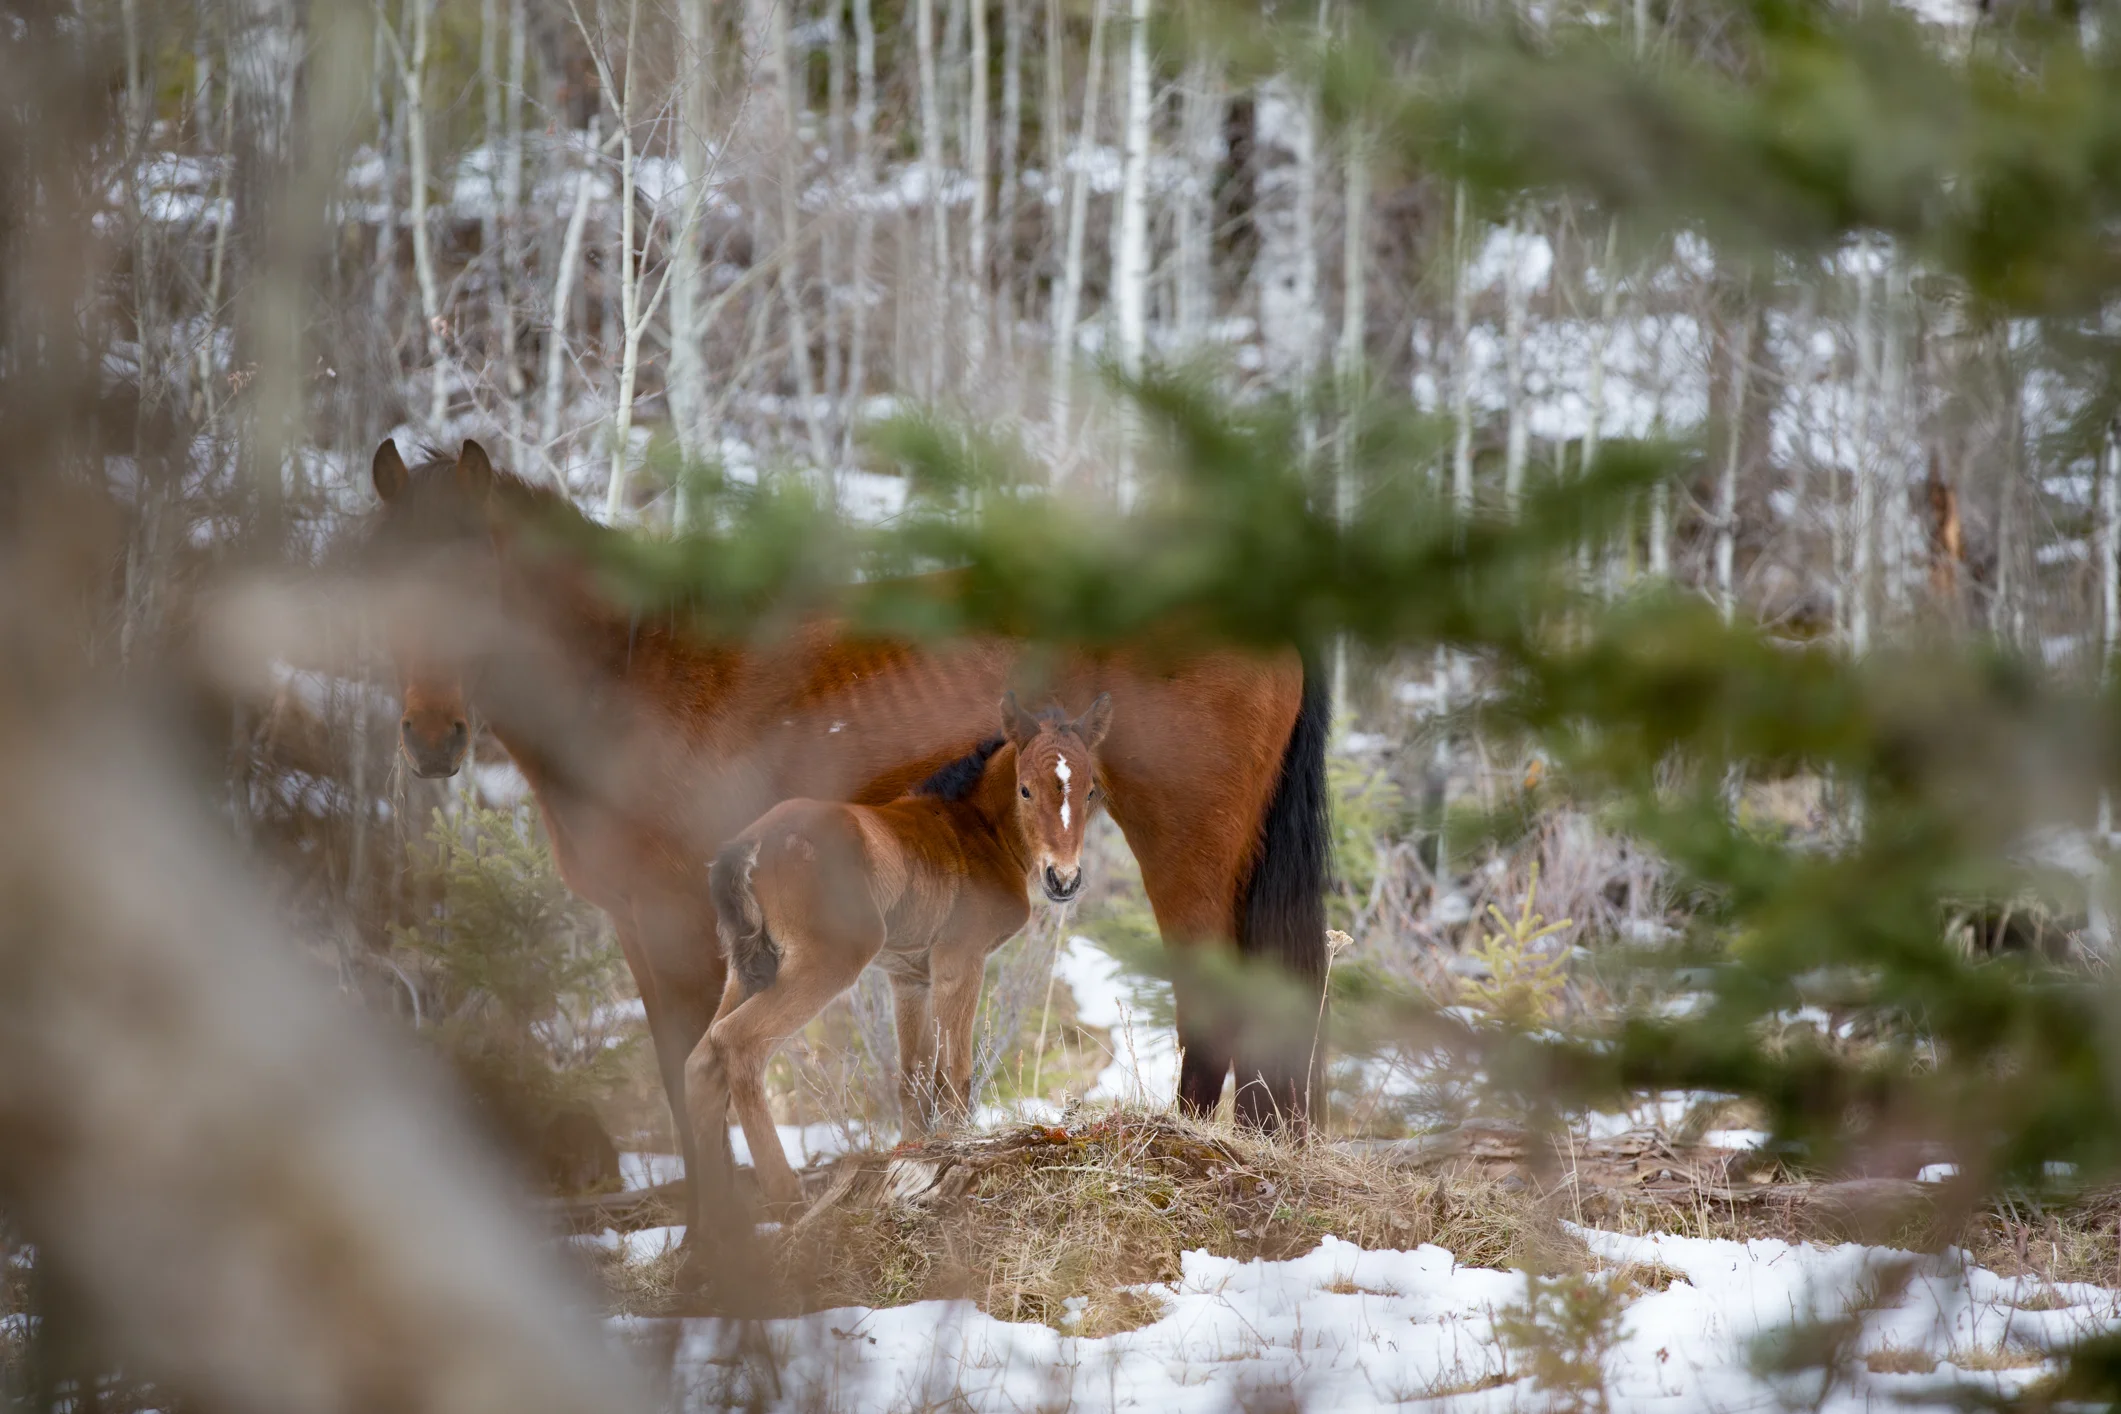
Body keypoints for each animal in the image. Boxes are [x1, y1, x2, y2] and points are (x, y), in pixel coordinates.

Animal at [693, 692, 1112, 1216]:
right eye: (1025, 790)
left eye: (1091, 791)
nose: (1064, 879)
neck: (976, 830)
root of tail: (751, 842)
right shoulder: (960, 961)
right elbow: (955, 1071)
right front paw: (957, 1142)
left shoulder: (910, 976)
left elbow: (912, 1076)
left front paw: (915, 1153)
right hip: (827, 962)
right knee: (737, 1043)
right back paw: (786, 1200)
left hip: (750, 968)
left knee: (701, 1062)